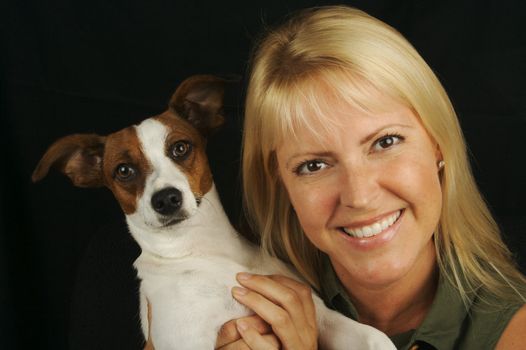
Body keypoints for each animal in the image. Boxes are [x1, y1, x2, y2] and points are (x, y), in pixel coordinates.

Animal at [32, 75, 396, 348]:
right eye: (123, 171)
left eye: (180, 148)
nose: (166, 199)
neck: (204, 250)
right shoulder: (190, 340)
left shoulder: (318, 314)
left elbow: (375, 338)